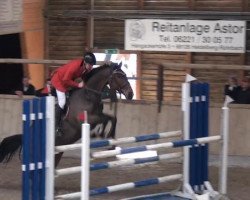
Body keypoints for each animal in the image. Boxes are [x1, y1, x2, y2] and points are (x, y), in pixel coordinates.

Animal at [0, 61, 134, 166]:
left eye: (125, 75)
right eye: (119, 77)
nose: (131, 94)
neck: (88, 95)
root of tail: (26, 136)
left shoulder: (96, 116)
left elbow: (112, 118)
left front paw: (107, 137)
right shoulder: (87, 119)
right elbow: (106, 119)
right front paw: (103, 134)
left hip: (58, 152)